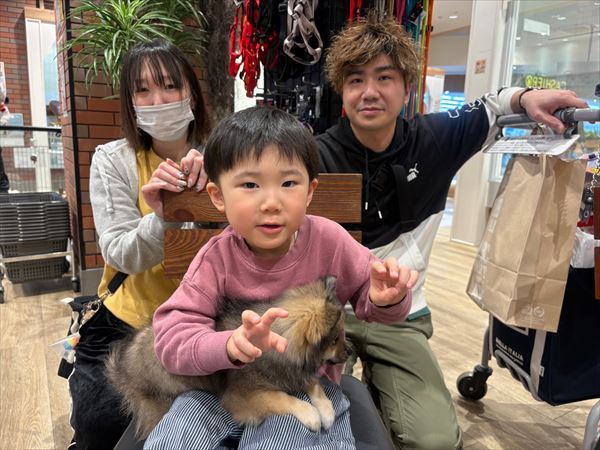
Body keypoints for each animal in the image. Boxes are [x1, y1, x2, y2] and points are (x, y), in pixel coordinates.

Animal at [106, 276, 348, 438]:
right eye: (334, 340)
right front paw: (310, 413)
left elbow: (314, 384)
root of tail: (121, 366)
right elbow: (280, 397)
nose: (349, 352)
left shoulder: (294, 373)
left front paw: (326, 411)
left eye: (342, 336)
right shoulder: (241, 395)